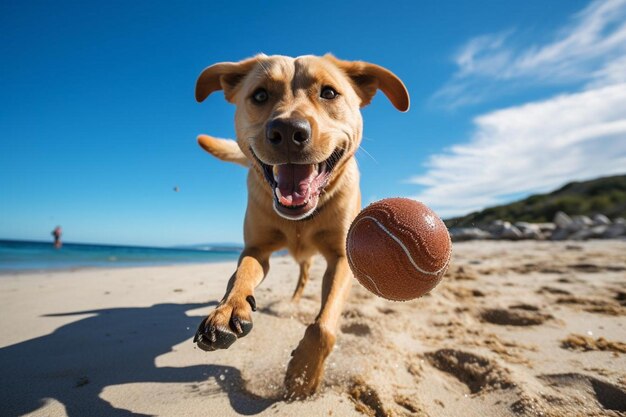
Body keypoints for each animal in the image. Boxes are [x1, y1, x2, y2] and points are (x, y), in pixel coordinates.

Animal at [195, 53, 410, 398]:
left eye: (329, 92)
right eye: (259, 95)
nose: (286, 131)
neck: (301, 218)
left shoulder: (343, 258)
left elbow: (324, 326)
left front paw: (303, 376)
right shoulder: (256, 248)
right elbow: (240, 276)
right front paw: (228, 310)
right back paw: (292, 302)